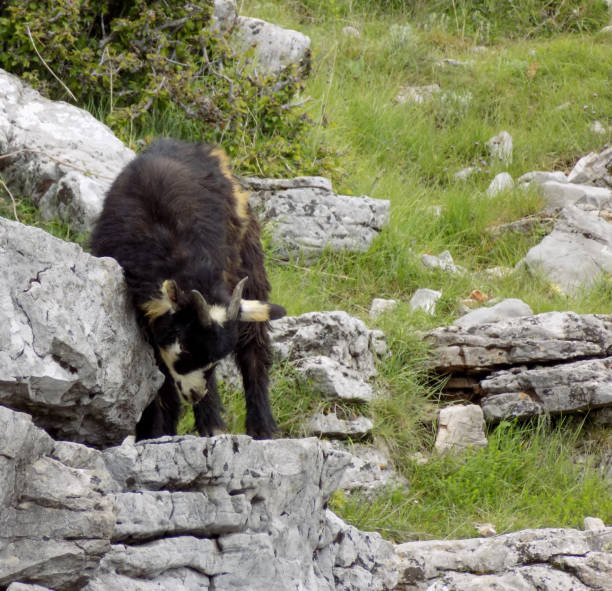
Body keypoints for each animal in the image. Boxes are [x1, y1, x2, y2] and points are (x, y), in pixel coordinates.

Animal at [91, 139, 286, 442]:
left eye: (216, 360)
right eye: (184, 347)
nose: (195, 394)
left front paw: (210, 426)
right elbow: (159, 382)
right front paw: (155, 431)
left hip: (250, 261)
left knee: (254, 346)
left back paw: (261, 426)